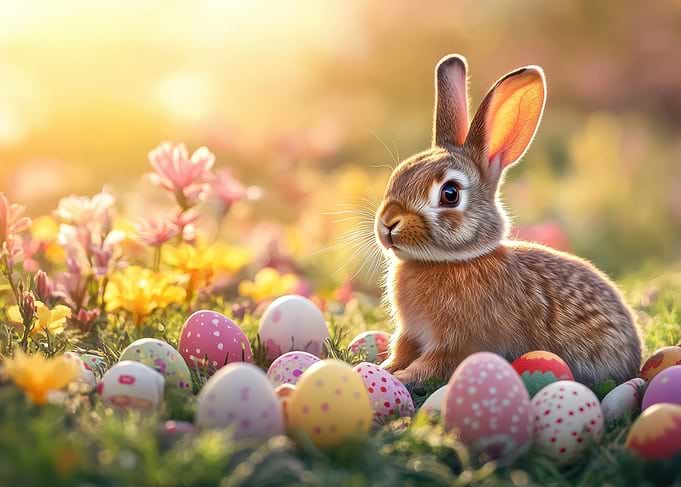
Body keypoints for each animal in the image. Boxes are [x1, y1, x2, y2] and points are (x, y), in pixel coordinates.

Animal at [375, 54, 641, 387]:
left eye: (450, 194)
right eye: (397, 175)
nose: (387, 224)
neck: (448, 261)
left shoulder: (460, 343)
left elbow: (435, 363)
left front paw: (404, 377)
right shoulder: (410, 333)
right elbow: (401, 350)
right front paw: (385, 369)